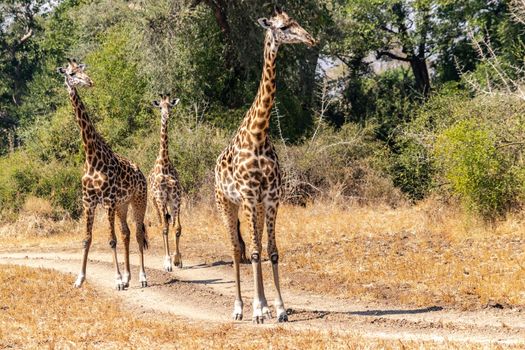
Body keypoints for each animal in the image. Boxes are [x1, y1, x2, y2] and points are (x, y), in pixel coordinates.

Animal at [58, 59, 150, 290]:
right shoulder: (88, 202)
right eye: (71, 73)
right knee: (126, 233)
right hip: (122, 205)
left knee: (138, 233)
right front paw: (80, 279)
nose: (90, 82)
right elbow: (87, 239)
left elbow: (111, 240)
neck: (91, 157)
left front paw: (116, 280)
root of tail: (142, 172)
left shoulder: (107, 201)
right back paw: (128, 277)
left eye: (82, 70)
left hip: (139, 200)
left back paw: (142, 278)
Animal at [214, 7, 316, 322]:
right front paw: (257, 310)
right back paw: (240, 308)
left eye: (296, 22)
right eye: (282, 27)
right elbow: (255, 251)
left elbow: (271, 250)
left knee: (252, 244)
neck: (259, 133)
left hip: (255, 207)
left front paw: (279, 308)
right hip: (226, 202)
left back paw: (264, 305)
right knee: (236, 249)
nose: (311, 39)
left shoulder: (270, 198)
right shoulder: (248, 196)